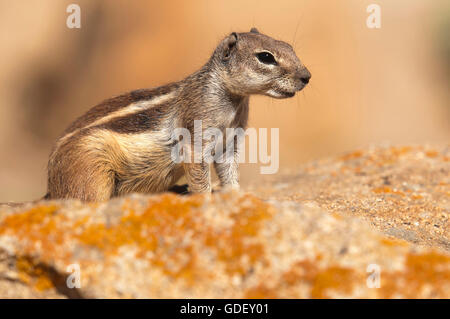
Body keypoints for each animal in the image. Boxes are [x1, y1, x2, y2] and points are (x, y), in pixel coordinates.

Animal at [45, 28, 312, 202]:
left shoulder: (229, 143)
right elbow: (199, 175)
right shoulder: (196, 137)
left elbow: (229, 173)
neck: (232, 104)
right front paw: (205, 200)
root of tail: (51, 185)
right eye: (265, 57)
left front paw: (237, 195)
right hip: (89, 171)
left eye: (289, 47)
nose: (307, 76)